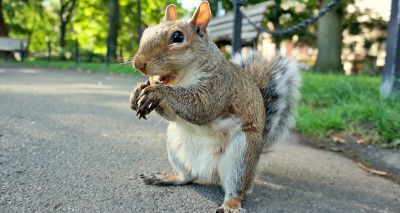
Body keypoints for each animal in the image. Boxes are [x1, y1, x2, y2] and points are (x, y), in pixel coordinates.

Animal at [129, 1, 300, 211]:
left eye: (177, 37)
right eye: (147, 31)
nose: (138, 63)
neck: (183, 77)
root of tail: (208, 172)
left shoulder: (219, 87)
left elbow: (201, 107)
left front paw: (157, 92)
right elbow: (172, 114)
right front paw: (137, 92)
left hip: (240, 157)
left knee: (237, 189)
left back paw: (230, 205)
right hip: (176, 147)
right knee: (187, 177)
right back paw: (167, 177)